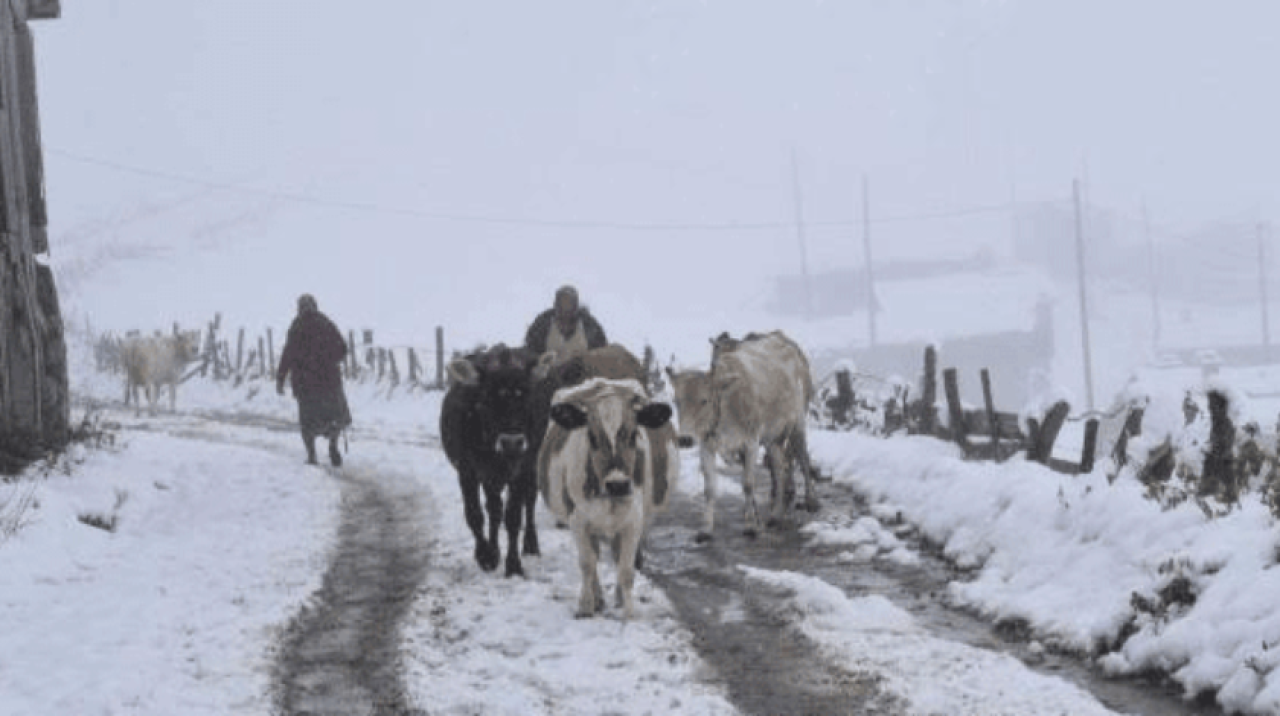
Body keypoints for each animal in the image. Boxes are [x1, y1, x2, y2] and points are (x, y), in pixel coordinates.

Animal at [440, 345, 550, 576]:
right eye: (487, 400)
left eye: (526, 397)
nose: (512, 442)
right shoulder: (467, 471)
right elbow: (474, 514)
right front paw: (486, 555)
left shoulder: (520, 469)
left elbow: (514, 516)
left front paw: (514, 565)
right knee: (494, 509)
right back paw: (494, 549)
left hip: (529, 466)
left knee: (529, 500)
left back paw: (531, 544)